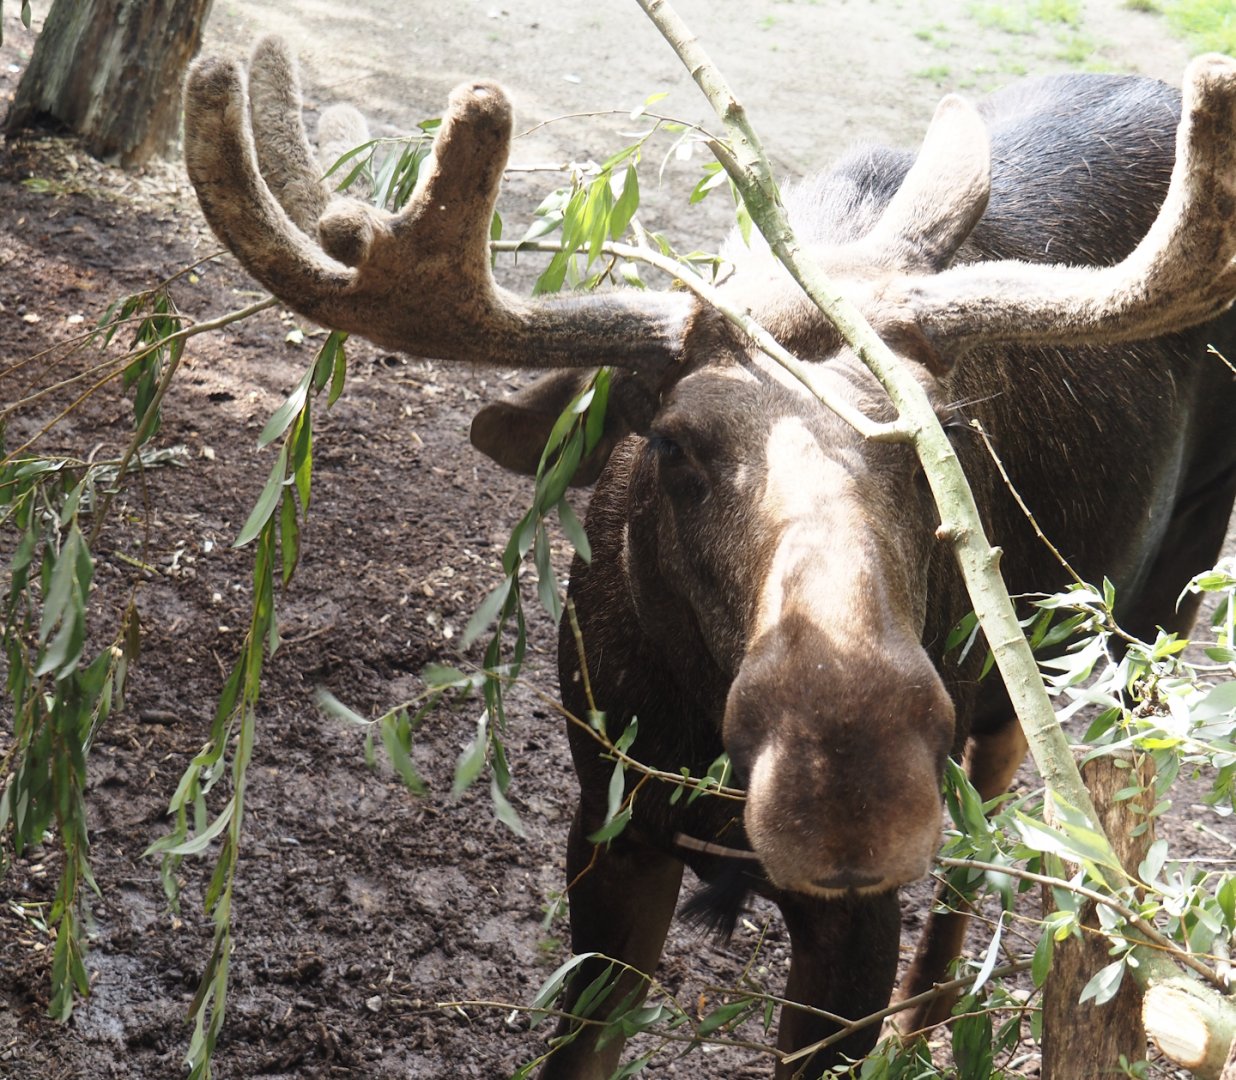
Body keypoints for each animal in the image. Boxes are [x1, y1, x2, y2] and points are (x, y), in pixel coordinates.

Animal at [183, 37, 1236, 1078]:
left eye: (948, 431)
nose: (849, 789)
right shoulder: (611, 823)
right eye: (671, 444)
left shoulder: (851, 917)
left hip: (1157, 605)